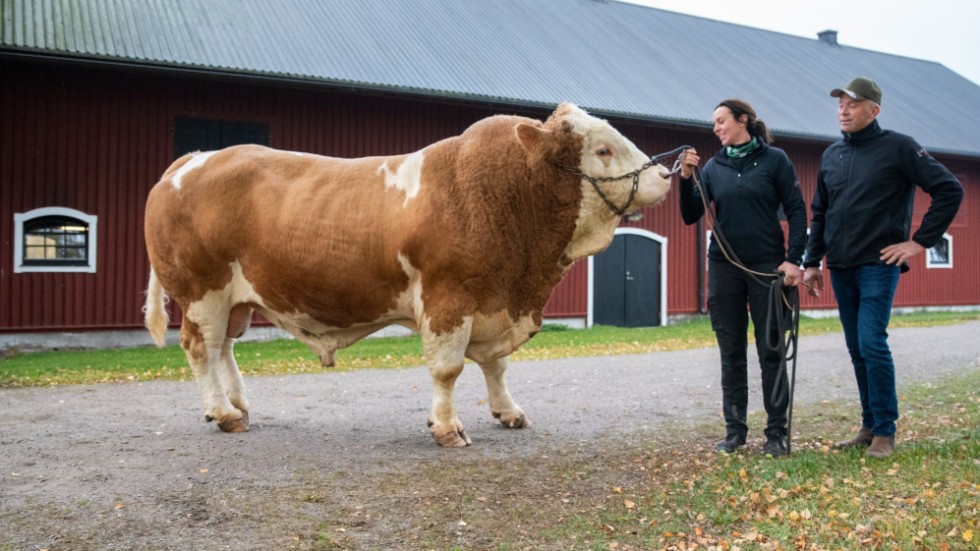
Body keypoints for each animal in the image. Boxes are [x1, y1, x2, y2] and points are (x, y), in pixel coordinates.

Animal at [142, 104, 668, 448]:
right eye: (603, 150)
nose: (665, 174)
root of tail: (193, 158)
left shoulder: (493, 300)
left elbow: (496, 366)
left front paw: (508, 411)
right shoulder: (448, 297)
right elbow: (448, 368)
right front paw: (447, 428)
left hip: (236, 299)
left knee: (224, 348)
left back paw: (238, 404)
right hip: (202, 291)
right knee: (201, 347)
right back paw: (224, 414)